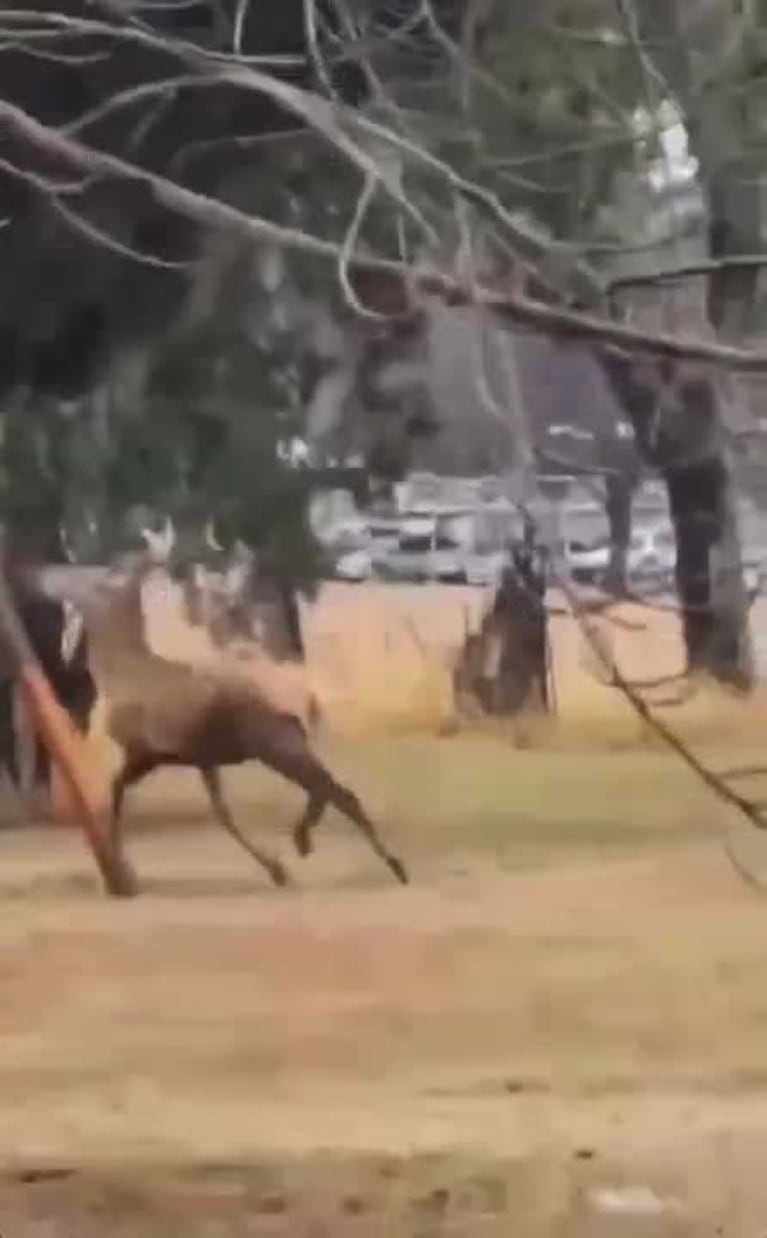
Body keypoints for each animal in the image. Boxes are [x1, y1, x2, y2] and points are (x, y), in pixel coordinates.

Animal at [59, 552, 408, 891]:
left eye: (103, 583)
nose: (65, 594)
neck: (118, 672)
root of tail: (308, 696)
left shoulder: (147, 753)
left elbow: (115, 796)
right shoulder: (188, 758)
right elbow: (221, 813)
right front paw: (277, 870)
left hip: (276, 744)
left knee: (339, 793)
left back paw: (392, 865)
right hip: (285, 744)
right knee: (323, 790)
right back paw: (306, 842)